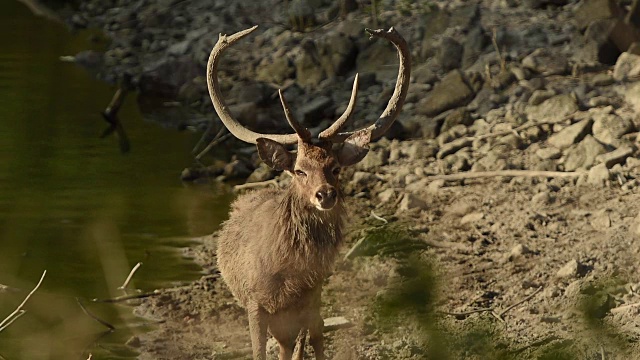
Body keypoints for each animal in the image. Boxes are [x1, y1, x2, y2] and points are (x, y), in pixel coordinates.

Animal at [208, 26, 412, 360]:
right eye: (300, 170)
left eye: (336, 168)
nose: (325, 195)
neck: (285, 274)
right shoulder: (254, 303)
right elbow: (261, 351)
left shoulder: (311, 297)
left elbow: (313, 339)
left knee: (308, 337)